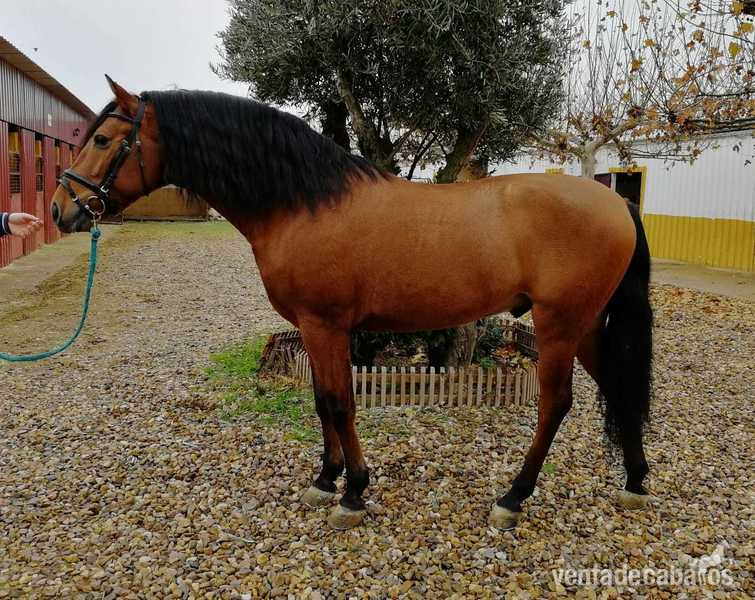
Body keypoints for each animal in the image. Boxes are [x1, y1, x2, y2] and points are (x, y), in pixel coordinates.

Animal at [51, 77, 653, 531]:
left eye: (102, 140)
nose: (62, 209)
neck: (304, 203)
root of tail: (617, 203)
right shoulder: (314, 329)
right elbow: (322, 401)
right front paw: (325, 481)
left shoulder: (325, 325)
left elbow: (341, 404)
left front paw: (353, 494)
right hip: (584, 327)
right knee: (617, 386)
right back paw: (635, 482)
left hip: (558, 326)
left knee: (556, 403)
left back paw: (513, 497)